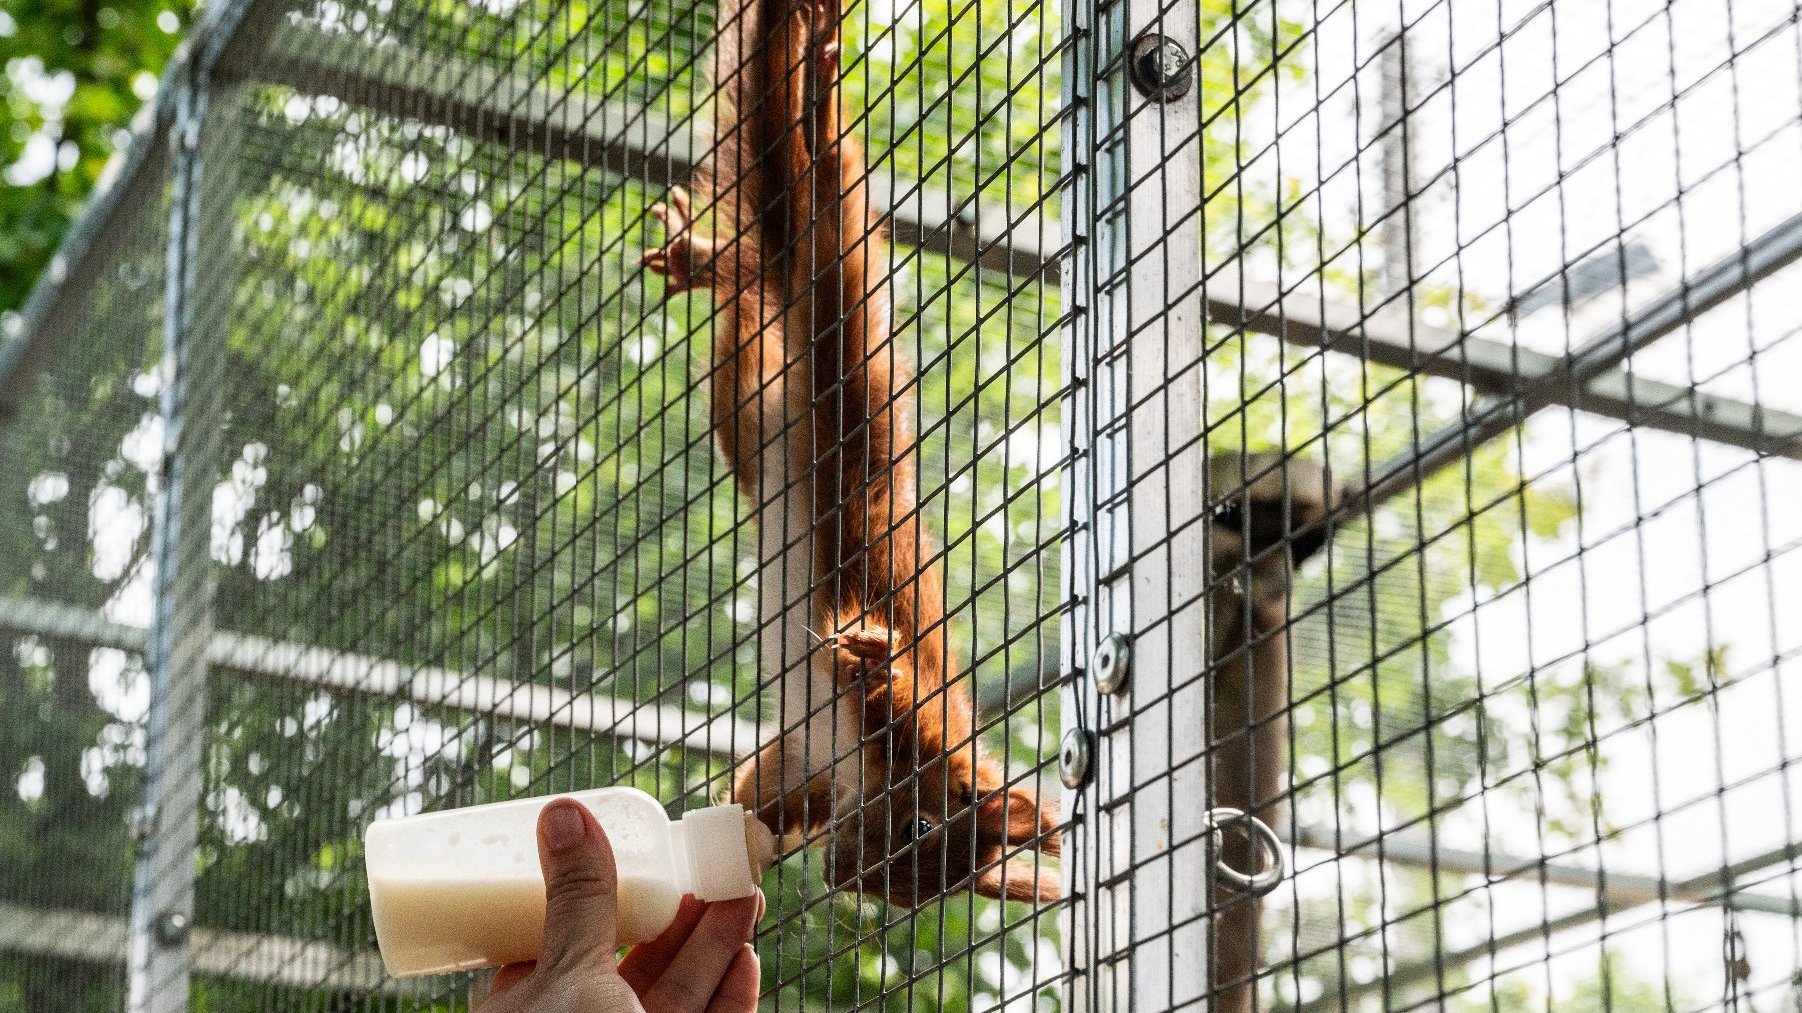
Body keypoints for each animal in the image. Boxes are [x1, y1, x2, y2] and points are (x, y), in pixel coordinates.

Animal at [645, 0, 1059, 897]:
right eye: (917, 829)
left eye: (911, 891)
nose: (843, 877)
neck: (858, 769)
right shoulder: (921, 716)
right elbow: (894, 685)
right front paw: (875, 660)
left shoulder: (801, 764)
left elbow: (757, 791)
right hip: (842, 323)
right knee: (817, 188)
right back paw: (819, 87)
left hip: (751, 420)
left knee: (753, 299)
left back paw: (704, 261)